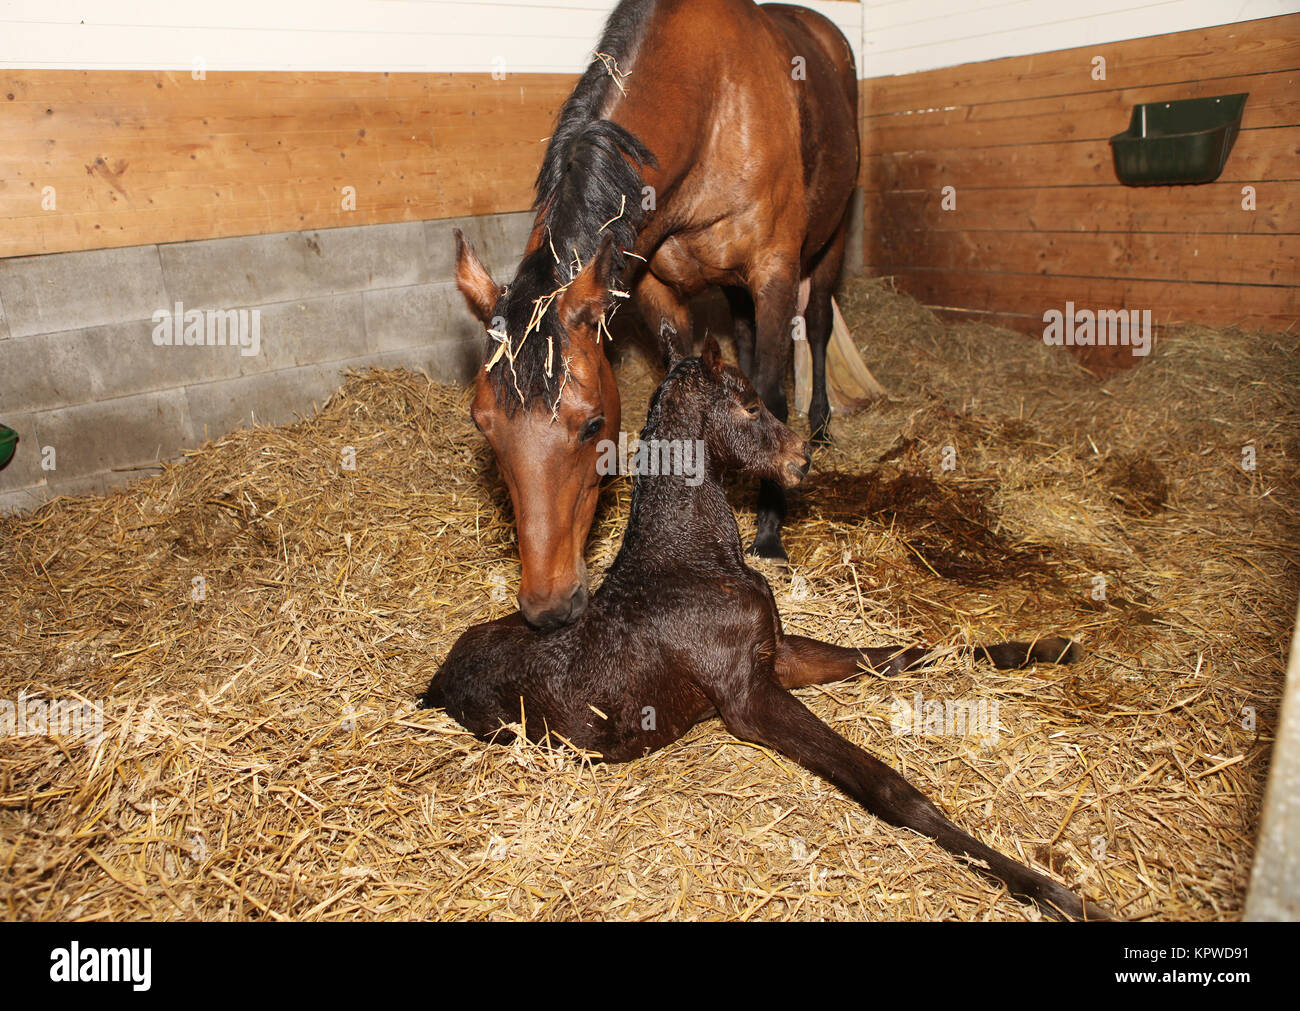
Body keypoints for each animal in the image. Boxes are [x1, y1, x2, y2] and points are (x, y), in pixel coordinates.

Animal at [423, 335, 1107, 920]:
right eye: (750, 402)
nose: (802, 457)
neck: (691, 563)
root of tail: (436, 683)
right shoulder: (748, 699)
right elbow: (887, 785)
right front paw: (1055, 893)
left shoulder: (776, 657)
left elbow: (901, 654)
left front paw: (1048, 646)